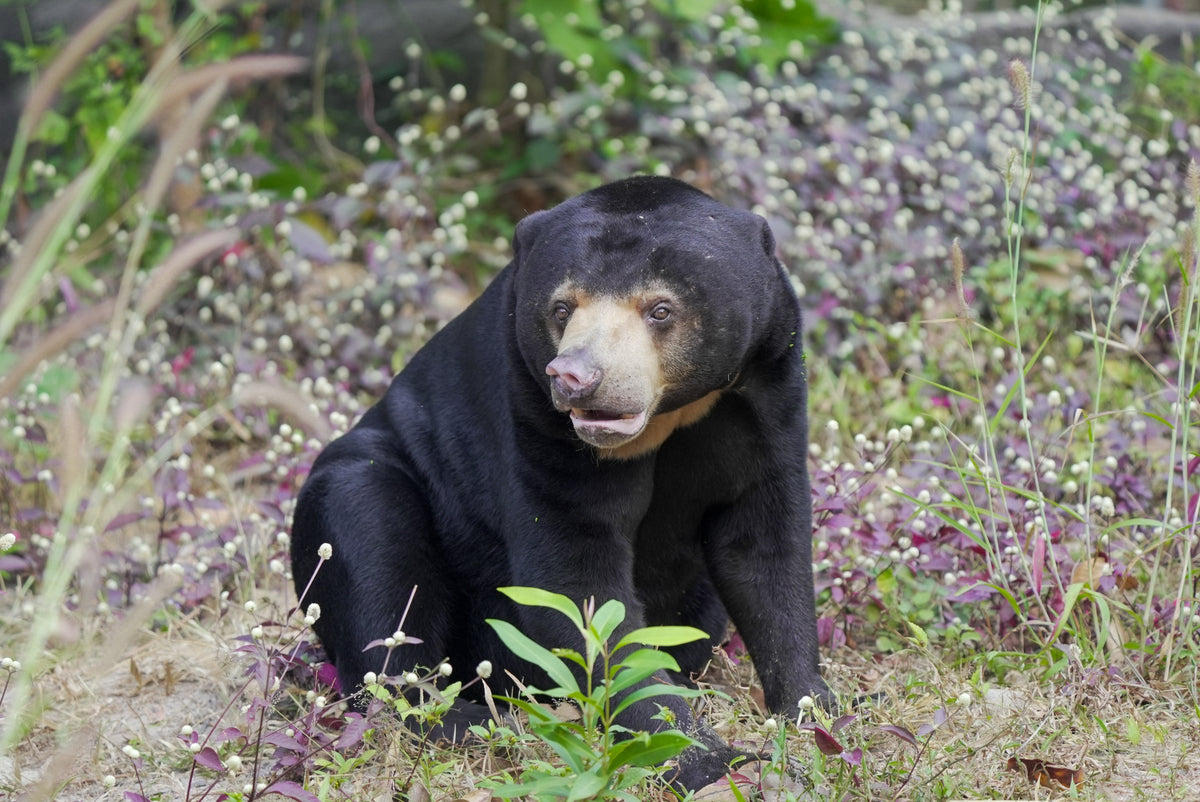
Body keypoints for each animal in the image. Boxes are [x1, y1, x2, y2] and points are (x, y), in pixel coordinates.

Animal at [290, 175, 832, 790]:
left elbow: (763, 550)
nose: (574, 377)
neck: (669, 418)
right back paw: (463, 718)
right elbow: (578, 581)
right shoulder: (531, 414)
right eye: (561, 307)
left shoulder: (768, 392)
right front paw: (710, 760)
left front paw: (813, 709)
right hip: (371, 488)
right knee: (372, 548)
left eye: (660, 309)